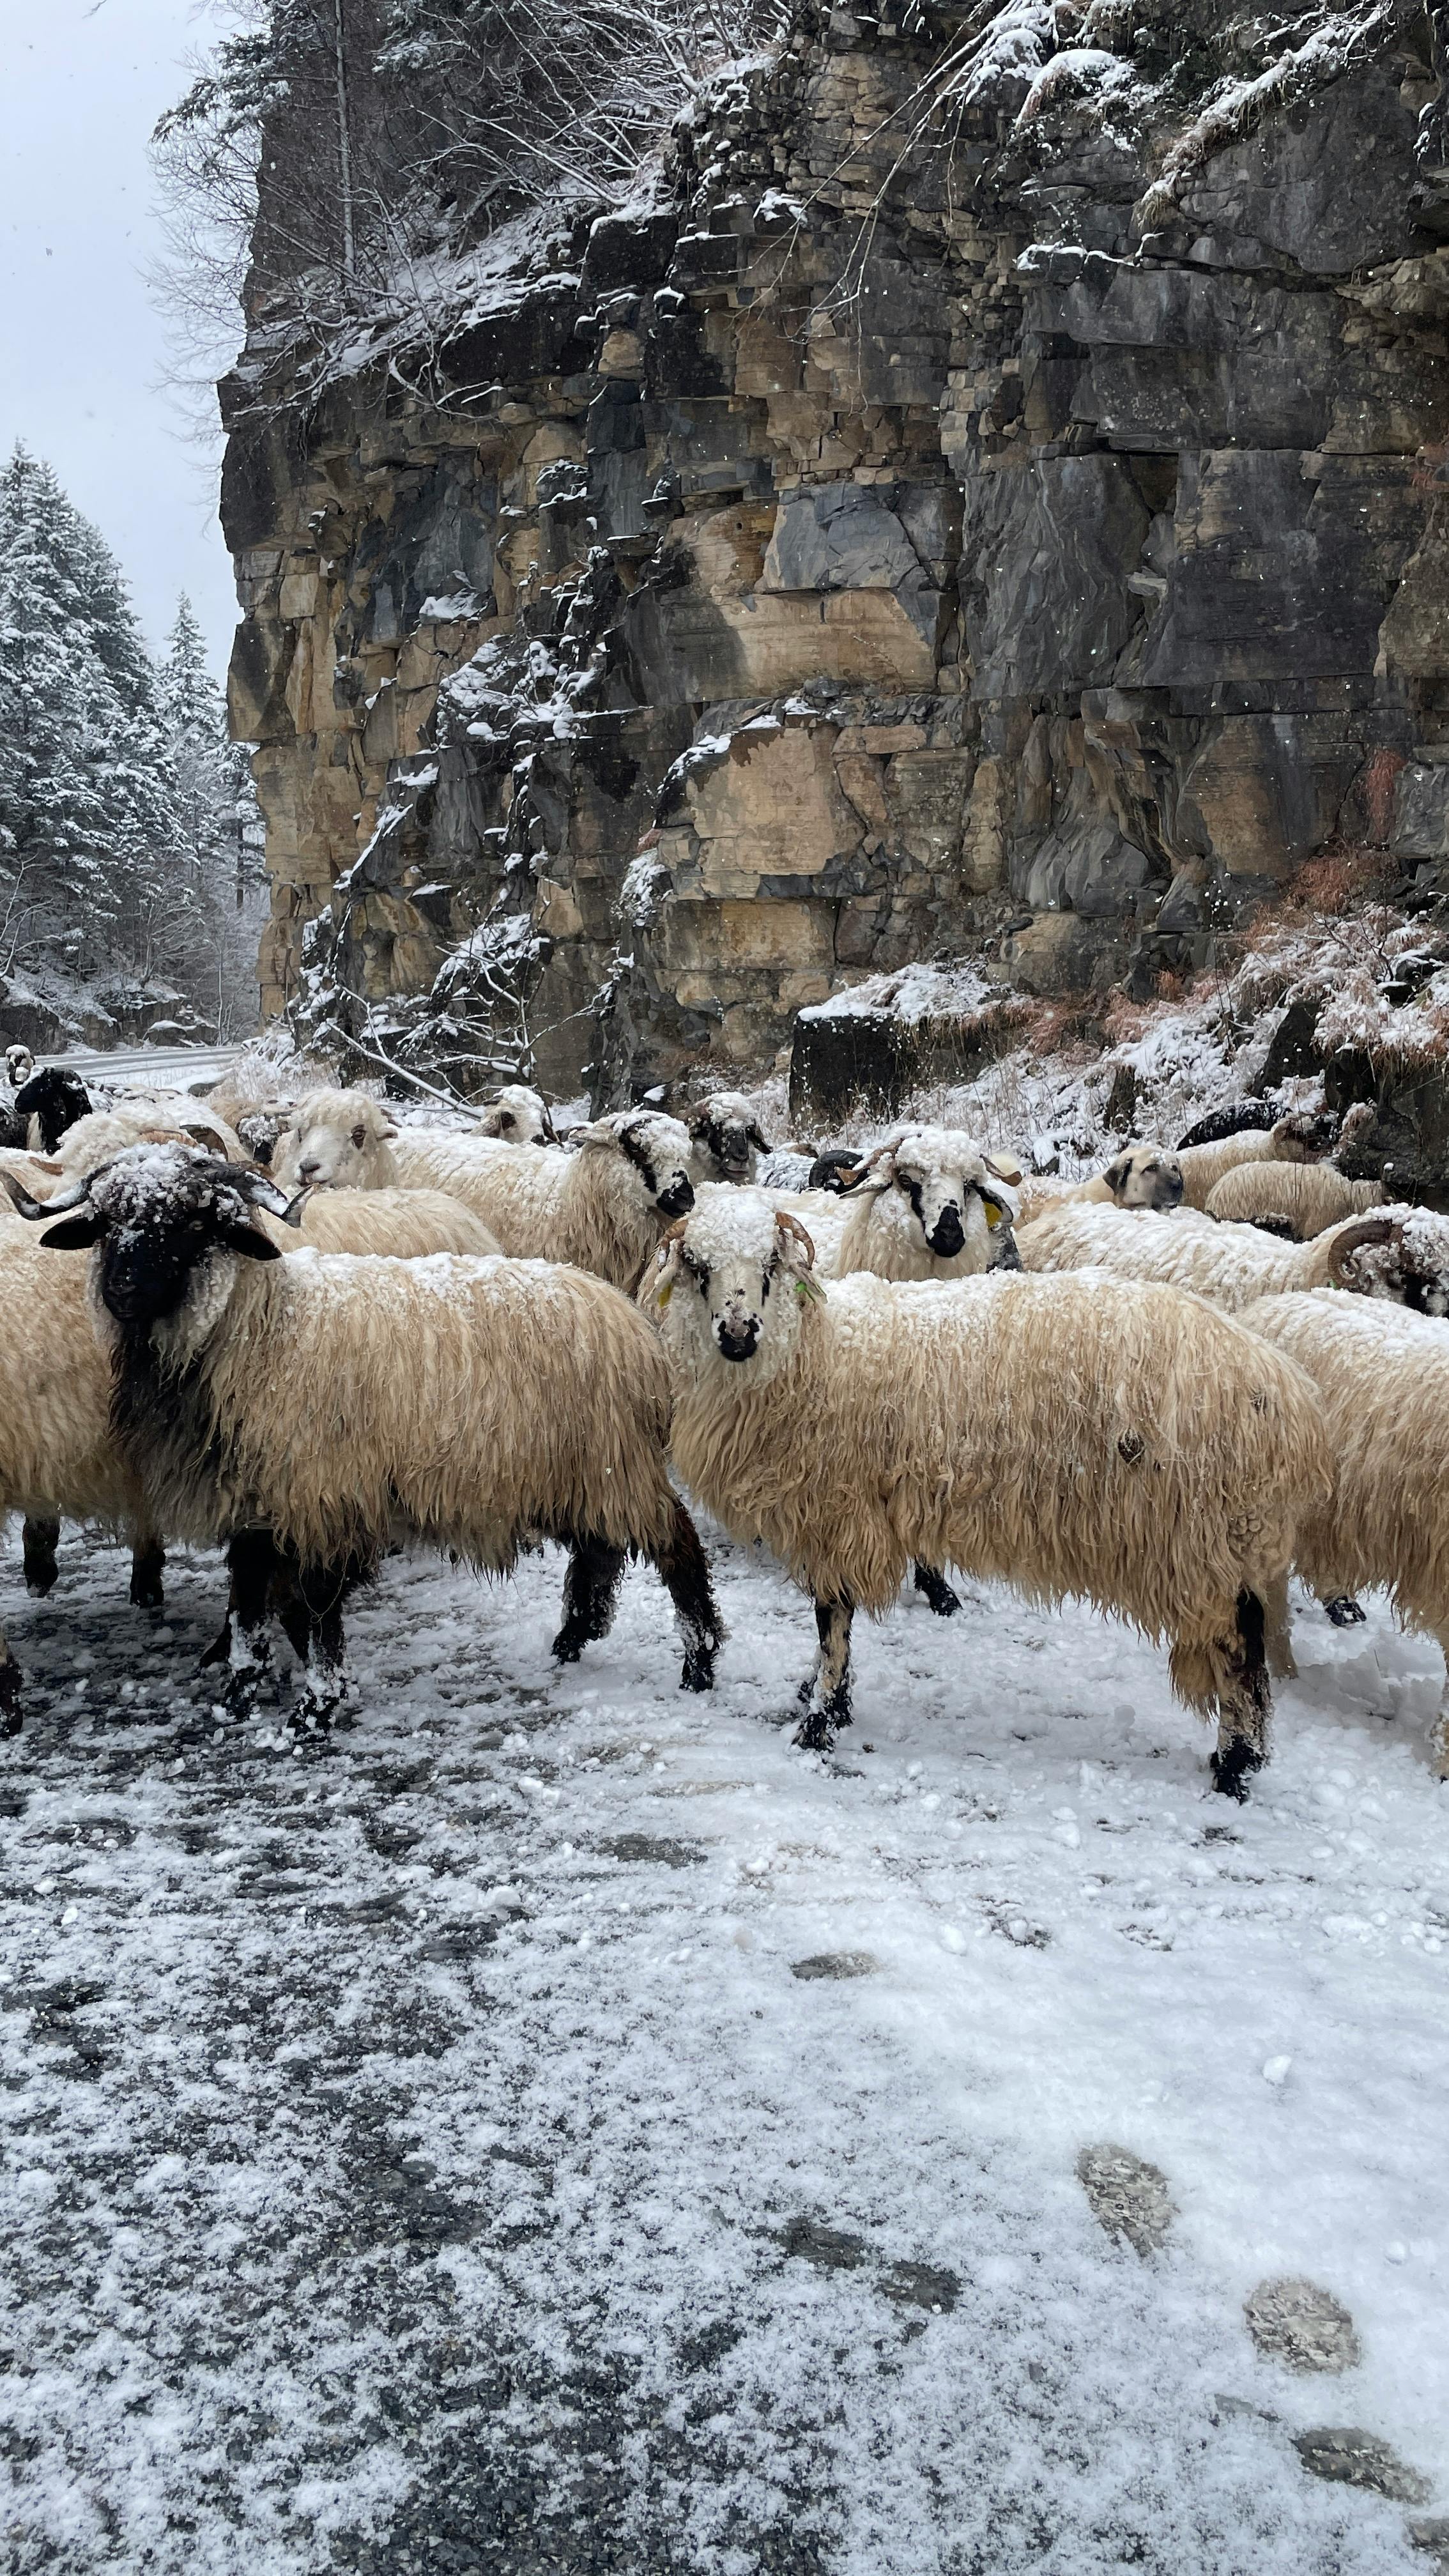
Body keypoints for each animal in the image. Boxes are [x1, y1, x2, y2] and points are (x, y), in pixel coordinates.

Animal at [21, 1145, 722, 1720]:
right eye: (107, 1221)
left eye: (194, 1224)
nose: (122, 1290)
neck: (261, 1335)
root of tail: (628, 1319)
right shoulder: (254, 1502)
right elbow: (248, 1606)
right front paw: (240, 1696)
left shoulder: (323, 1494)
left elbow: (315, 1606)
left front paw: (314, 1709)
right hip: (571, 1469)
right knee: (599, 1551)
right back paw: (573, 1639)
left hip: (616, 1460)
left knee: (677, 1550)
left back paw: (698, 1663)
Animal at [641, 1191, 1328, 1797]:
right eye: (697, 1266)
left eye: (769, 1264)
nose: (738, 1335)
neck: (818, 1354)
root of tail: (1286, 1387)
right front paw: (819, 1701)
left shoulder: (841, 1512)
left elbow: (833, 1624)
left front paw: (819, 1722)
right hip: (1225, 1539)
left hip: (1212, 1538)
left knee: (1239, 1652)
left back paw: (1234, 1769)